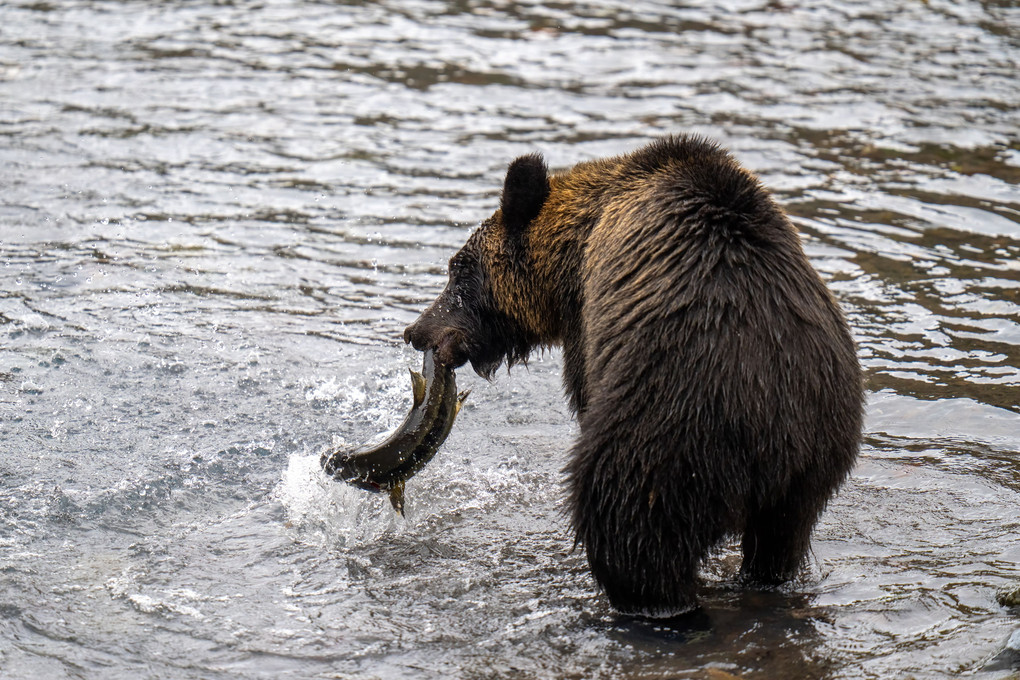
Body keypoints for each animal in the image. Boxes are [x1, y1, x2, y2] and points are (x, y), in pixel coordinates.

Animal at [401, 135, 864, 619]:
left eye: (457, 268)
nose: (416, 331)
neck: (572, 254)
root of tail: (779, 429)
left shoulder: (591, 324)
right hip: (814, 465)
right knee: (778, 544)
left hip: (675, 428)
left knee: (627, 524)